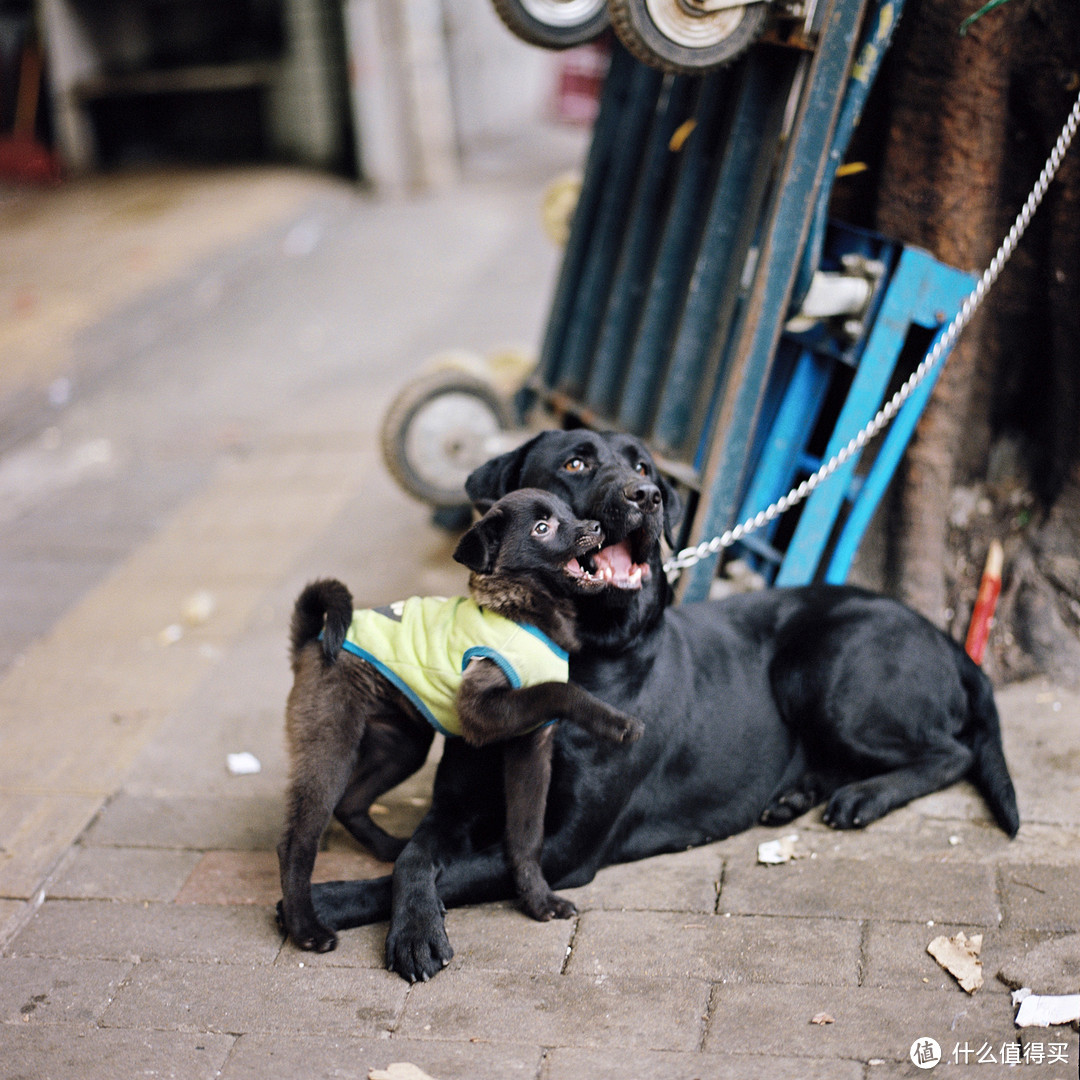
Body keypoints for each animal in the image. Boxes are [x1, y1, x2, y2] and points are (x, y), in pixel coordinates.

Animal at [278, 490, 639, 954]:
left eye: (570, 513)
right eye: (542, 528)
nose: (594, 527)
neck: (522, 611)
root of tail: (312, 641)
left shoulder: (530, 745)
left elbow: (526, 836)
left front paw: (537, 899)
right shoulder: (481, 712)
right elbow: (557, 689)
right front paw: (614, 721)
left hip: (402, 746)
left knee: (351, 801)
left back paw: (389, 848)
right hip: (331, 746)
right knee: (296, 841)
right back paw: (305, 927)